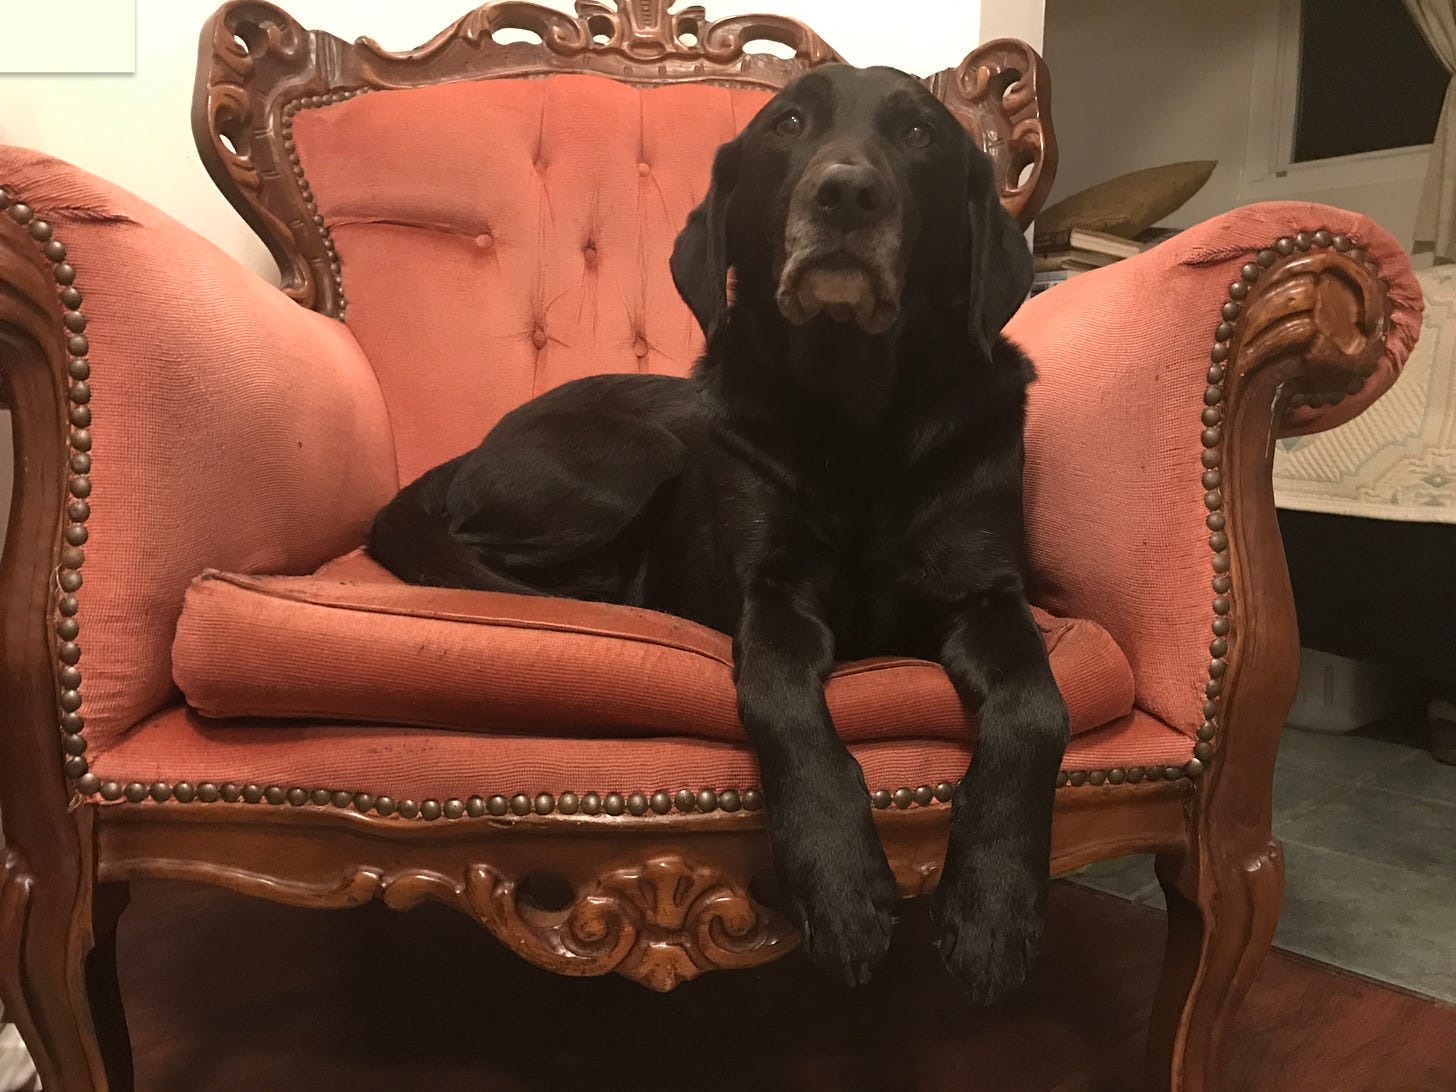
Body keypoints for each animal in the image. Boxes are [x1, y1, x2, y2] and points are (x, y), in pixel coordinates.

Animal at [369, 64, 1077, 1007]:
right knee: (472, 546)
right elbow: (779, 701)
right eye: (788, 123)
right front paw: (841, 889)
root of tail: (473, 448)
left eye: (920, 133)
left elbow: (1037, 707)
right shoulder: (772, 596)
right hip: (639, 450)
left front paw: (995, 908)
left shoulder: (988, 596)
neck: (859, 414)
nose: (846, 195)